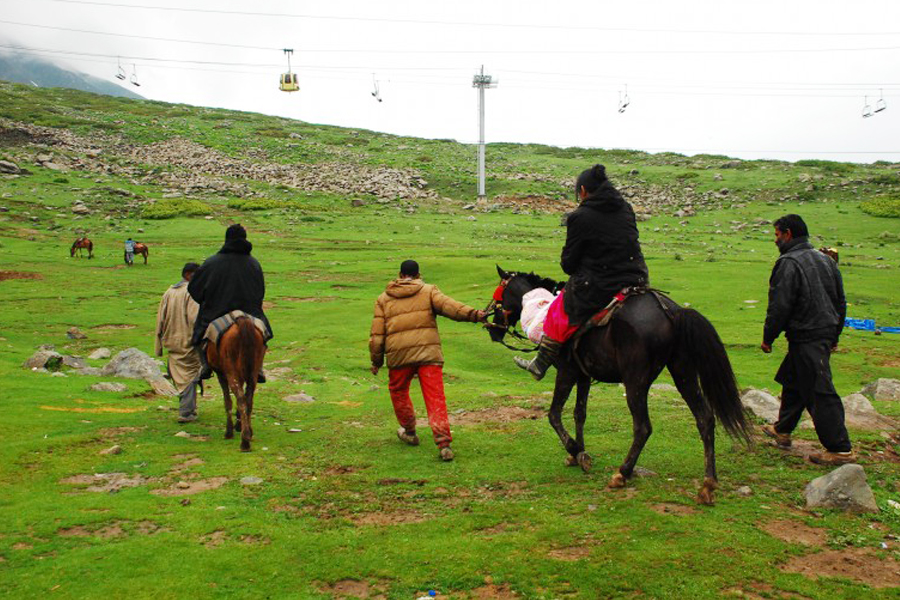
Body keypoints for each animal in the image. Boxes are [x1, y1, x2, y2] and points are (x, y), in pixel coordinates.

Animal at [208, 318, 268, 450]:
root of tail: (243, 322)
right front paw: (238, 425)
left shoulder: (221, 374)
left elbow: (228, 401)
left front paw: (229, 431)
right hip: (253, 374)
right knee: (248, 400)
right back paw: (248, 433)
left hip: (232, 372)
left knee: (240, 399)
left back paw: (244, 442)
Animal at [488, 264, 748, 504]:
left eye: (498, 298)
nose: (493, 332)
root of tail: (673, 312)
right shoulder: (583, 375)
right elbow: (579, 413)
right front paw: (578, 454)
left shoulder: (567, 371)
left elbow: (554, 414)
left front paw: (574, 449)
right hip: (683, 373)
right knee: (704, 418)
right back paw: (708, 485)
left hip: (636, 381)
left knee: (643, 427)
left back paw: (622, 473)